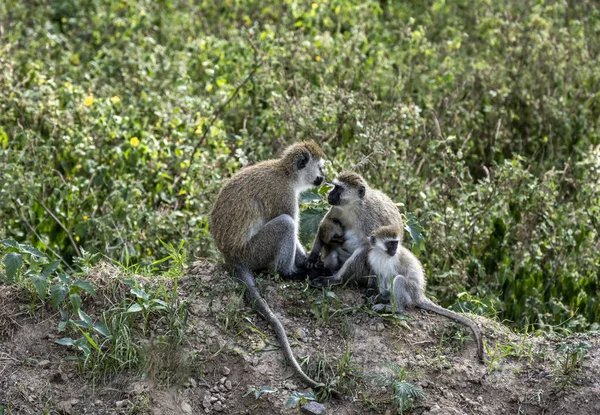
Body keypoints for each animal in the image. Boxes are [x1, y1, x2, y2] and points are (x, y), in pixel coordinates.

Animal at [210, 142, 330, 390]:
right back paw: (289, 273)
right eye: (320, 168)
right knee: (285, 223)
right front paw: (307, 265)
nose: (323, 177)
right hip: (255, 252)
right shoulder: (284, 195)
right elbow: (290, 223)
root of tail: (231, 256)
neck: (285, 172)